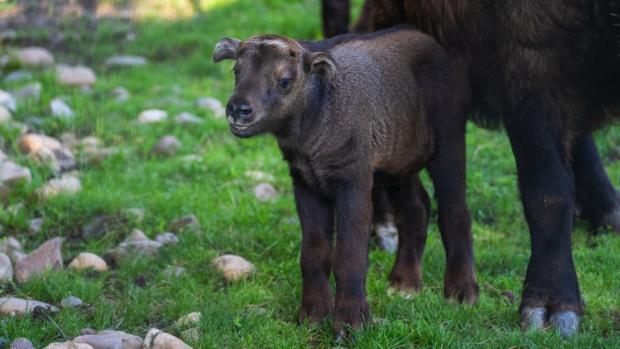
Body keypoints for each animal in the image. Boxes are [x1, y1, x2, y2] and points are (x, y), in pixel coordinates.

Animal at [213, 26, 474, 332]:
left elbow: (349, 255)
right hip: (398, 165)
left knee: (454, 209)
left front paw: (350, 324)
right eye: (236, 70)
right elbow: (314, 253)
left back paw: (462, 292)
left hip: (449, 138)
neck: (312, 121)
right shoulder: (305, 182)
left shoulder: (353, 179)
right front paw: (312, 316)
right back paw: (404, 283)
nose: (238, 109)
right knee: (416, 209)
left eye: (285, 80)